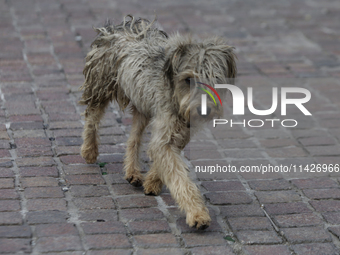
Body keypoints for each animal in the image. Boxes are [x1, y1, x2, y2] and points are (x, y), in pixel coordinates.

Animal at [79, 15, 236, 231]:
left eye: (216, 80)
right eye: (189, 79)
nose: (203, 110)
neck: (176, 98)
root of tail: (123, 25)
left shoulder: (179, 134)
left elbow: (165, 161)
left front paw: (152, 182)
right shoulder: (166, 133)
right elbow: (179, 177)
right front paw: (197, 213)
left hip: (142, 105)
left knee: (133, 138)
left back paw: (133, 171)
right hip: (100, 86)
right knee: (92, 118)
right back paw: (89, 150)